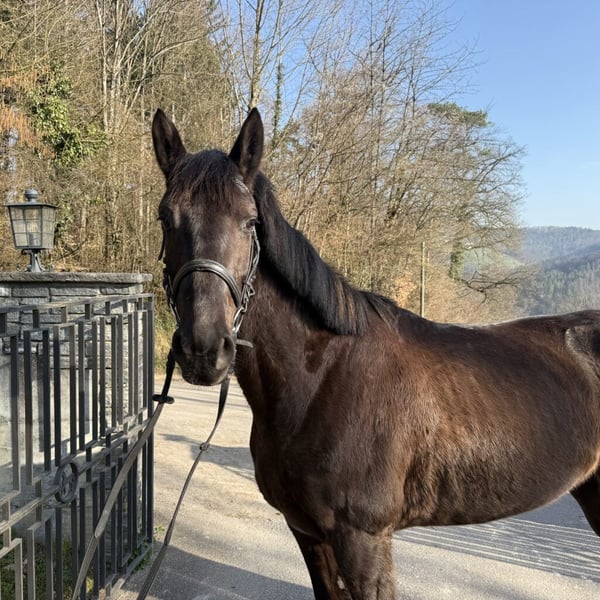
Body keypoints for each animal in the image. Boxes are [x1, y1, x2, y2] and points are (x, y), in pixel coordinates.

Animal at [151, 107, 600, 599]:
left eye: (250, 221)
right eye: (165, 219)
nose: (204, 349)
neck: (320, 379)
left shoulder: (364, 542)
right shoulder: (307, 533)